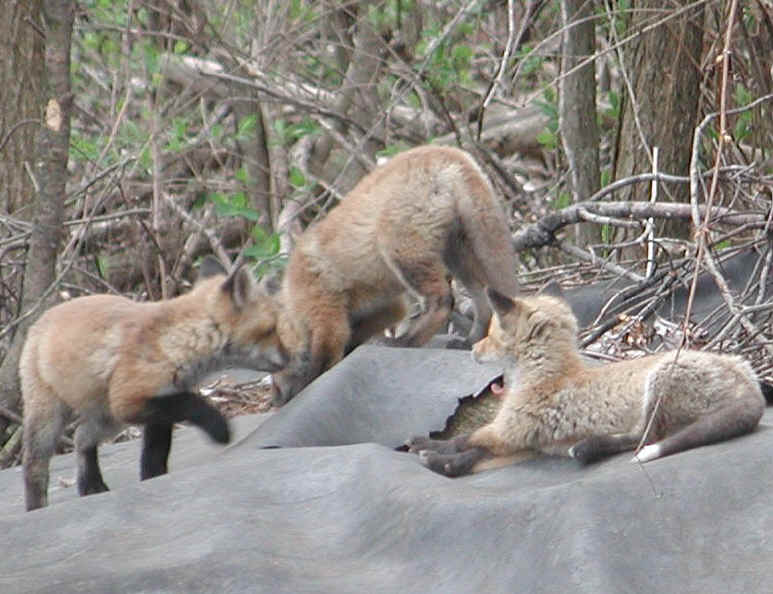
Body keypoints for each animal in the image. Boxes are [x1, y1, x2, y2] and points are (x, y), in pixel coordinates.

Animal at [20, 256, 287, 511]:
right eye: (272, 329)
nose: (290, 356)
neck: (176, 342)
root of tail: (41, 318)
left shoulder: (158, 404)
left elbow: (155, 453)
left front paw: (153, 482)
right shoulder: (131, 401)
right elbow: (193, 403)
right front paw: (219, 428)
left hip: (109, 418)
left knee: (81, 437)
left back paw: (91, 484)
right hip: (52, 417)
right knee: (35, 465)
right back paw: (36, 508)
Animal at [271, 145, 519, 405]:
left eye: (273, 375)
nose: (274, 401)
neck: (292, 302)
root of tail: (447, 151)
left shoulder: (325, 312)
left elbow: (323, 360)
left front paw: (306, 389)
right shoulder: (386, 308)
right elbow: (353, 338)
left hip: (402, 253)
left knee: (443, 301)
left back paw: (406, 342)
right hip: (458, 256)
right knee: (484, 304)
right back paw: (469, 341)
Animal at [407, 288, 765, 477]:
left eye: (493, 335)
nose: (472, 350)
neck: (546, 375)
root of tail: (752, 384)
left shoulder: (510, 430)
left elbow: (464, 440)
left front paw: (433, 452)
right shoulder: (522, 441)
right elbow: (472, 452)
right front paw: (444, 459)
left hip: (660, 382)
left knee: (645, 438)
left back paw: (587, 448)